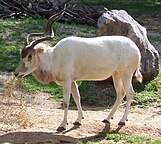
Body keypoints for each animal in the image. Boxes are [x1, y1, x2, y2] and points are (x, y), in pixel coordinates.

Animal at [14, 8, 142, 131]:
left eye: (29, 56)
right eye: (22, 55)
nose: (16, 73)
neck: (54, 57)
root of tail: (135, 48)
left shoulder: (66, 81)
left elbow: (66, 102)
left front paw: (62, 125)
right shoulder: (72, 81)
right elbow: (77, 98)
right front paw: (78, 120)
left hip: (126, 75)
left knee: (130, 92)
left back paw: (122, 121)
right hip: (116, 74)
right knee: (120, 93)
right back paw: (107, 118)